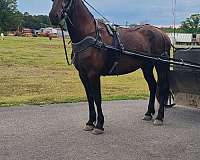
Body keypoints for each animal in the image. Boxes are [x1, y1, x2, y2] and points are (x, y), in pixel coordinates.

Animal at [49, 0, 171, 134]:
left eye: (67, 0)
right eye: (52, 0)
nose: (53, 16)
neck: (90, 36)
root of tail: (163, 33)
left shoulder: (94, 74)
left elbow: (97, 97)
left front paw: (99, 125)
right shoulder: (83, 74)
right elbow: (90, 97)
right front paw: (90, 122)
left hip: (160, 65)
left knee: (163, 87)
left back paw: (159, 117)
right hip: (146, 66)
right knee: (152, 86)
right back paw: (149, 113)